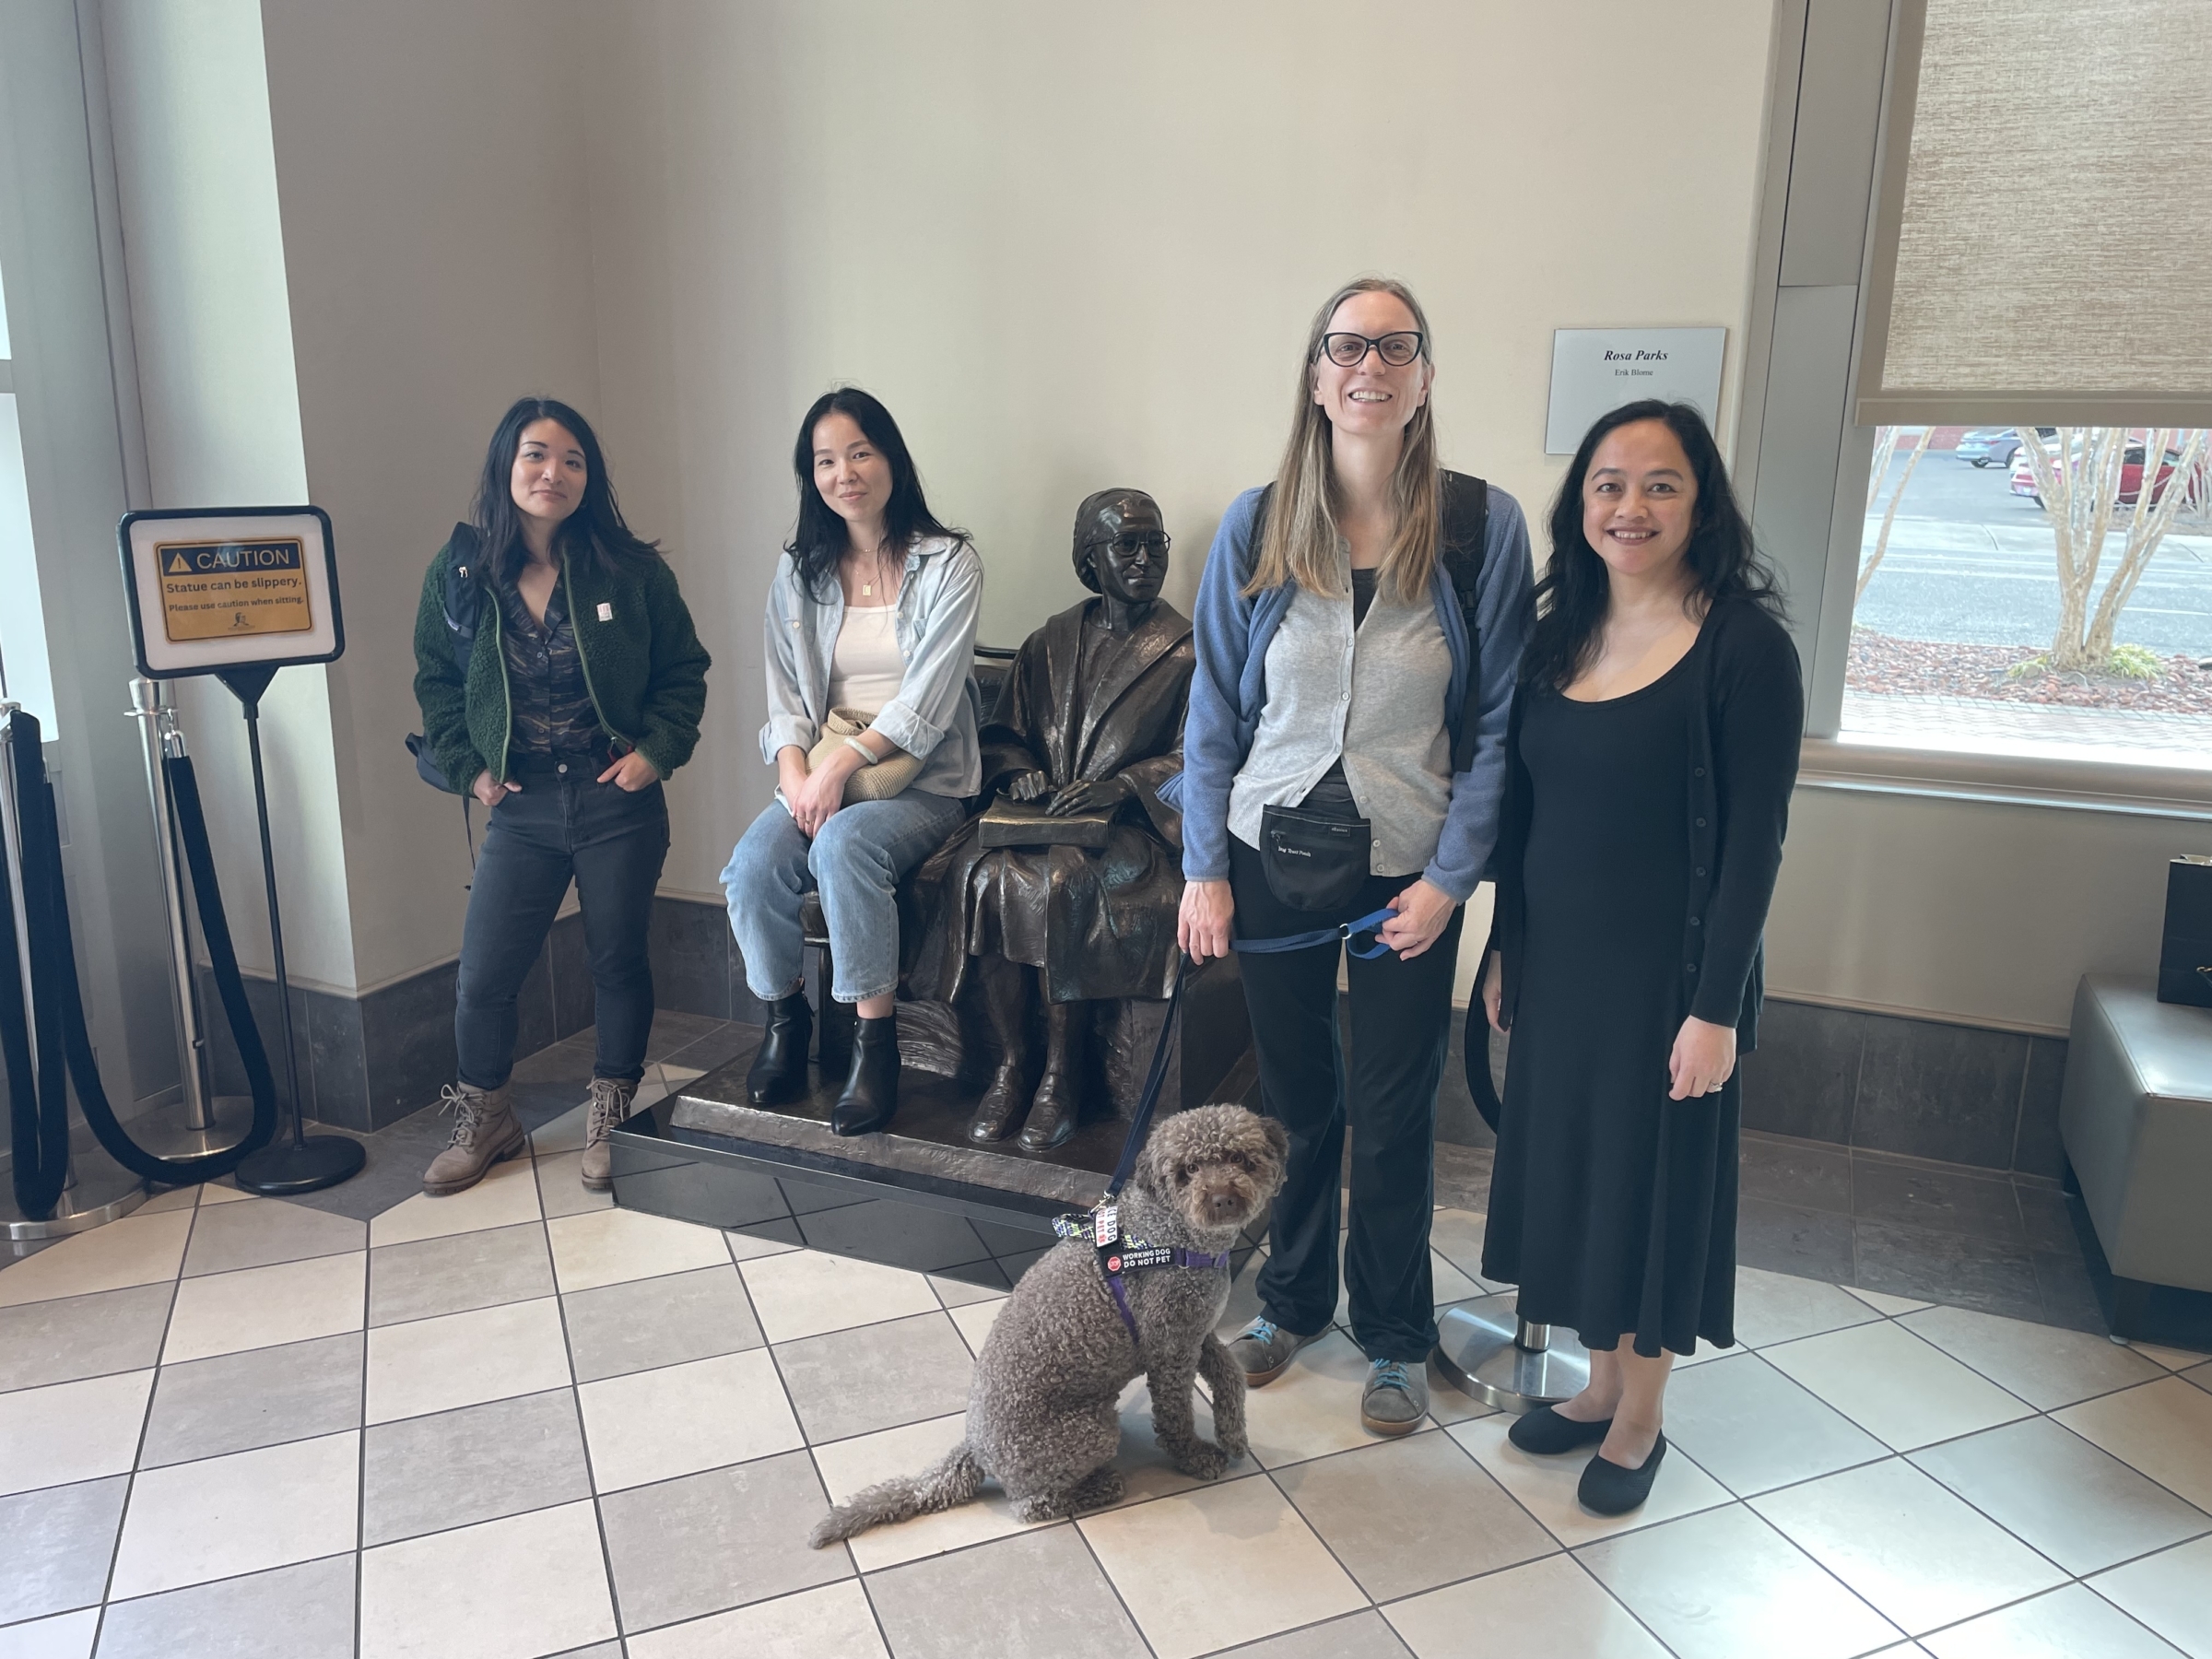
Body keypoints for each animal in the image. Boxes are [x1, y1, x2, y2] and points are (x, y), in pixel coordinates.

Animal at [814, 1106, 1291, 1548]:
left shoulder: (1195, 1334)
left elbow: (1231, 1375)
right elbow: (1175, 1417)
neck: (1173, 1236)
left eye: (1240, 1158)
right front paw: (1194, 1456)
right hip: (1090, 1433)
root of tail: (976, 1449)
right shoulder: (1170, 1352)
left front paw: (1234, 1434)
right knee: (1033, 1505)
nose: (1222, 1199)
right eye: (1188, 1170)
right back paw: (1099, 1488)